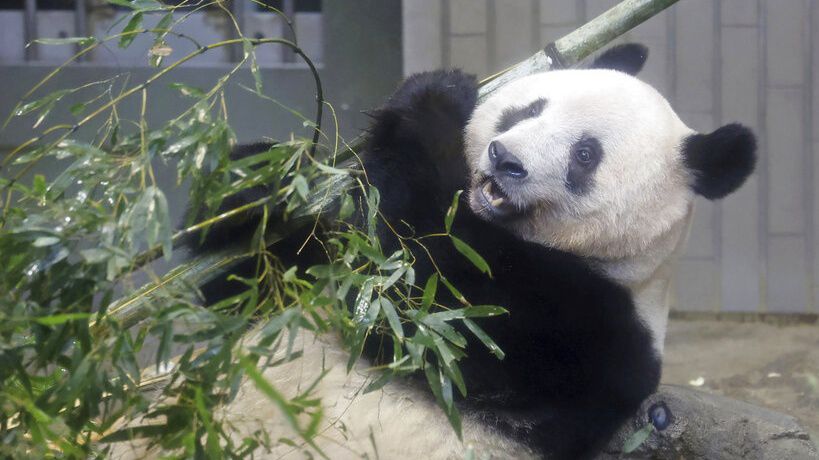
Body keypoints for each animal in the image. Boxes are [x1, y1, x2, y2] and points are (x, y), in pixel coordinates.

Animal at [120, 45, 756, 458]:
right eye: (531, 109)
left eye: (585, 154)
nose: (506, 159)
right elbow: (260, 285)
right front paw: (260, 184)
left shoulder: (585, 333)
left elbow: (428, 306)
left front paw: (435, 102)